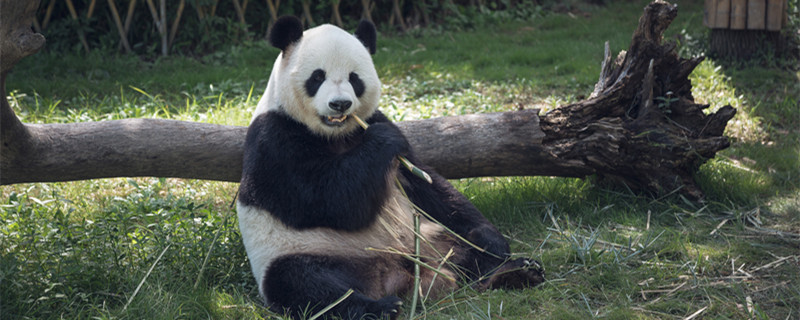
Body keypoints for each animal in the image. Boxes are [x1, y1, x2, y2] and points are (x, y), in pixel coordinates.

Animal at [238, 16, 544, 318]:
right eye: (317, 77)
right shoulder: (275, 140)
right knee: (305, 283)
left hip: (431, 238)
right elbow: (329, 200)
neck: (336, 135)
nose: (340, 104)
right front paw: (381, 140)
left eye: (354, 78)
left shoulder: (381, 127)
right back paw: (379, 308)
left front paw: (493, 241)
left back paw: (513, 271)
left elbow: (428, 185)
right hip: (302, 252)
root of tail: (394, 275)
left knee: (465, 251)